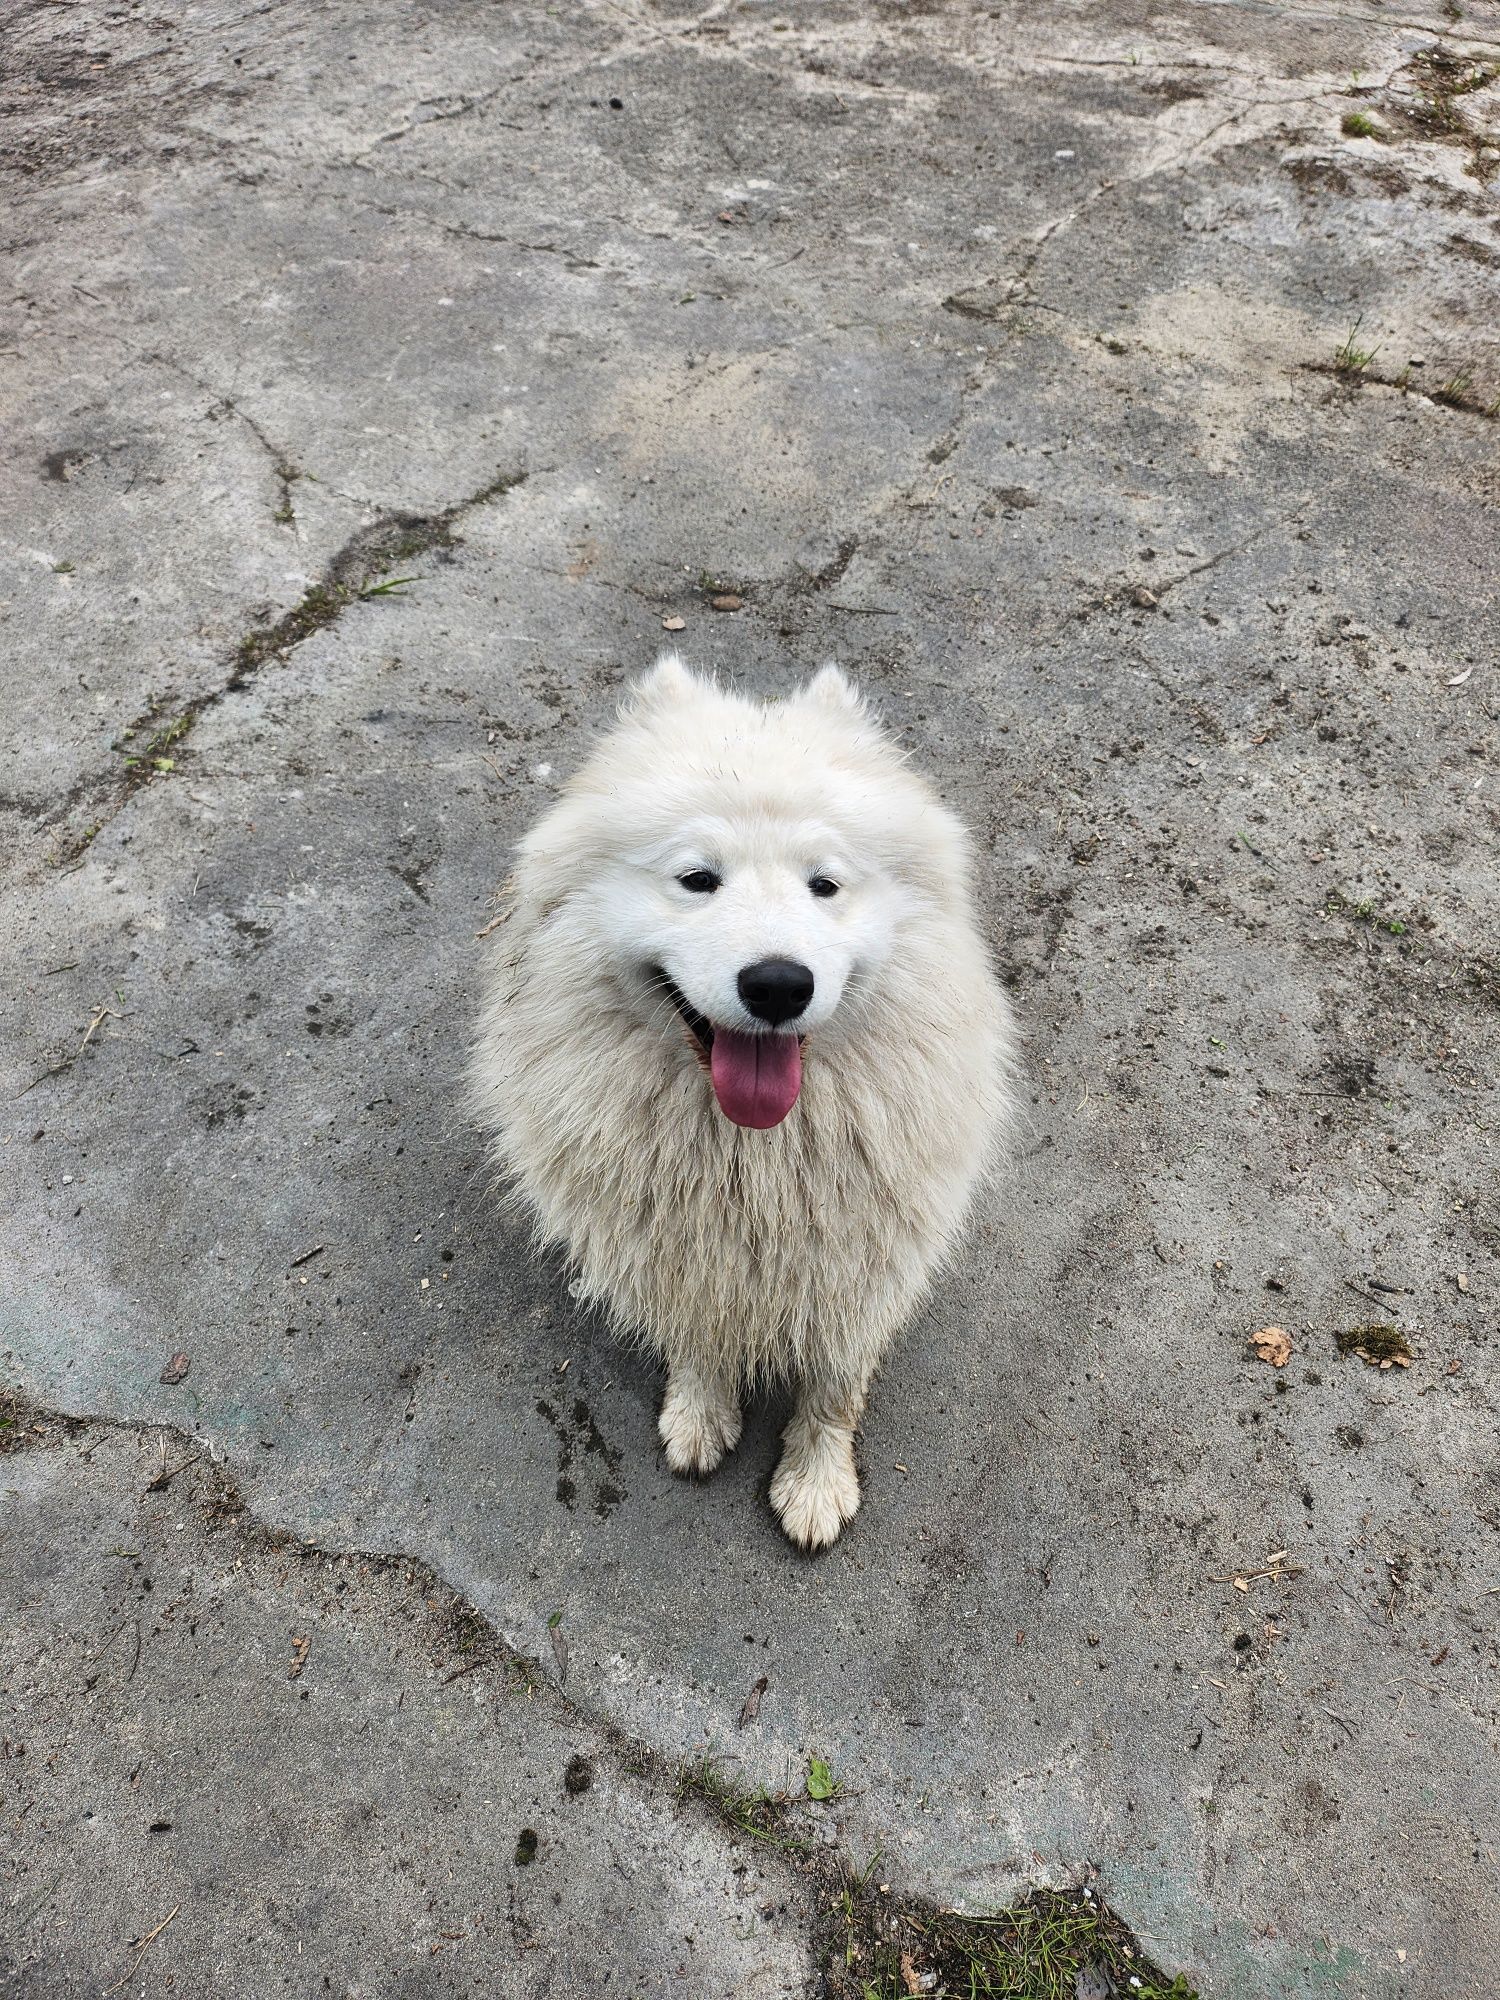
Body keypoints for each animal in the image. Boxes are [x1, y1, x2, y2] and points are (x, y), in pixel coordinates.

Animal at [476, 656, 1016, 1544]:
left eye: (825, 884)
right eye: (697, 879)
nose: (777, 984)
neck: (752, 1156)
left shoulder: (864, 1263)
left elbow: (833, 1386)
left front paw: (815, 1480)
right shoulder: (681, 1248)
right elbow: (698, 1332)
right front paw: (700, 1413)